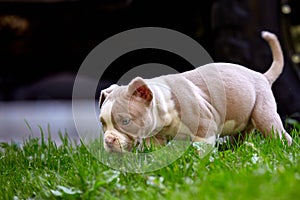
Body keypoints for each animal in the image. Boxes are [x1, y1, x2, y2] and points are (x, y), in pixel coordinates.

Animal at [99, 31, 292, 153]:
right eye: (102, 124)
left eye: (126, 121)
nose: (108, 140)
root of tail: (262, 76)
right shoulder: (155, 138)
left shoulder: (205, 129)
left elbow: (201, 151)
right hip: (244, 120)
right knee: (239, 137)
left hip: (264, 114)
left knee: (278, 134)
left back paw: (284, 149)